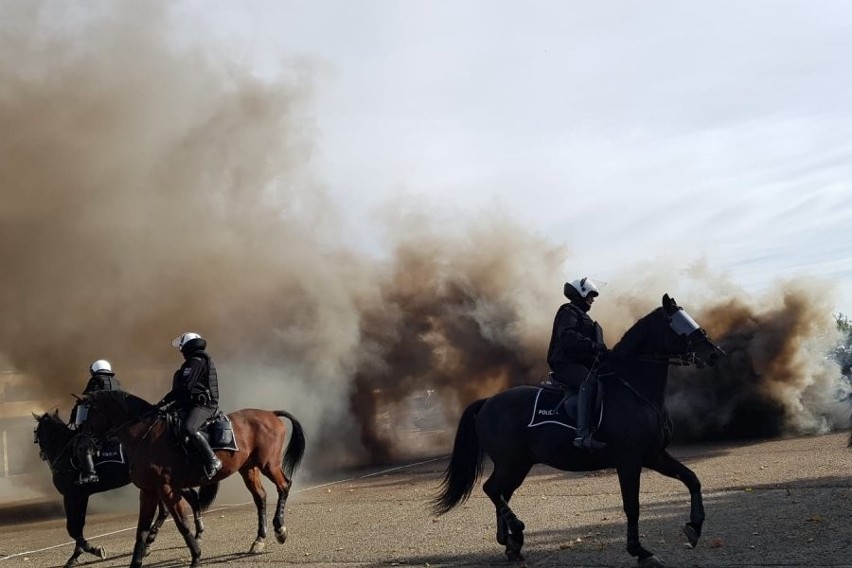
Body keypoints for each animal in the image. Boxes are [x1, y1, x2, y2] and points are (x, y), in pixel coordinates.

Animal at [33, 410, 218, 564]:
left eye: (36, 431)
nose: (41, 454)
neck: (64, 451)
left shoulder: (72, 495)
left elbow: (73, 527)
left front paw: (89, 551)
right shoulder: (80, 496)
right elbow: (77, 525)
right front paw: (79, 553)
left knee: (183, 502)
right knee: (181, 503)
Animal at [80, 390, 306, 568]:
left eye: (87, 412)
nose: (82, 443)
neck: (145, 437)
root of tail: (270, 413)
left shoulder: (168, 489)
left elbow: (182, 524)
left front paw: (196, 556)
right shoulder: (148, 492)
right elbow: (141, 530)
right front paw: (137, 561)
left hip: (269, 465)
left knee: (284, 486)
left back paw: (280, 528)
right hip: (248, 469)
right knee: (260, 498)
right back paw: (260, 539)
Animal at [432, 296, 724, 564]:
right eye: (677, 323)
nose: (715, 354)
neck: (633, 389)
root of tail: (488, 401)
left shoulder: (654, 455)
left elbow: (692, 479)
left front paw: (694, 527)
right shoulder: (629, 461)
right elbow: (632, 506)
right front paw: (639, 551)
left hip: (519, 465)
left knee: (502, 492)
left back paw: (511, 543)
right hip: (510, 462)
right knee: (492, 489)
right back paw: (516, 530)